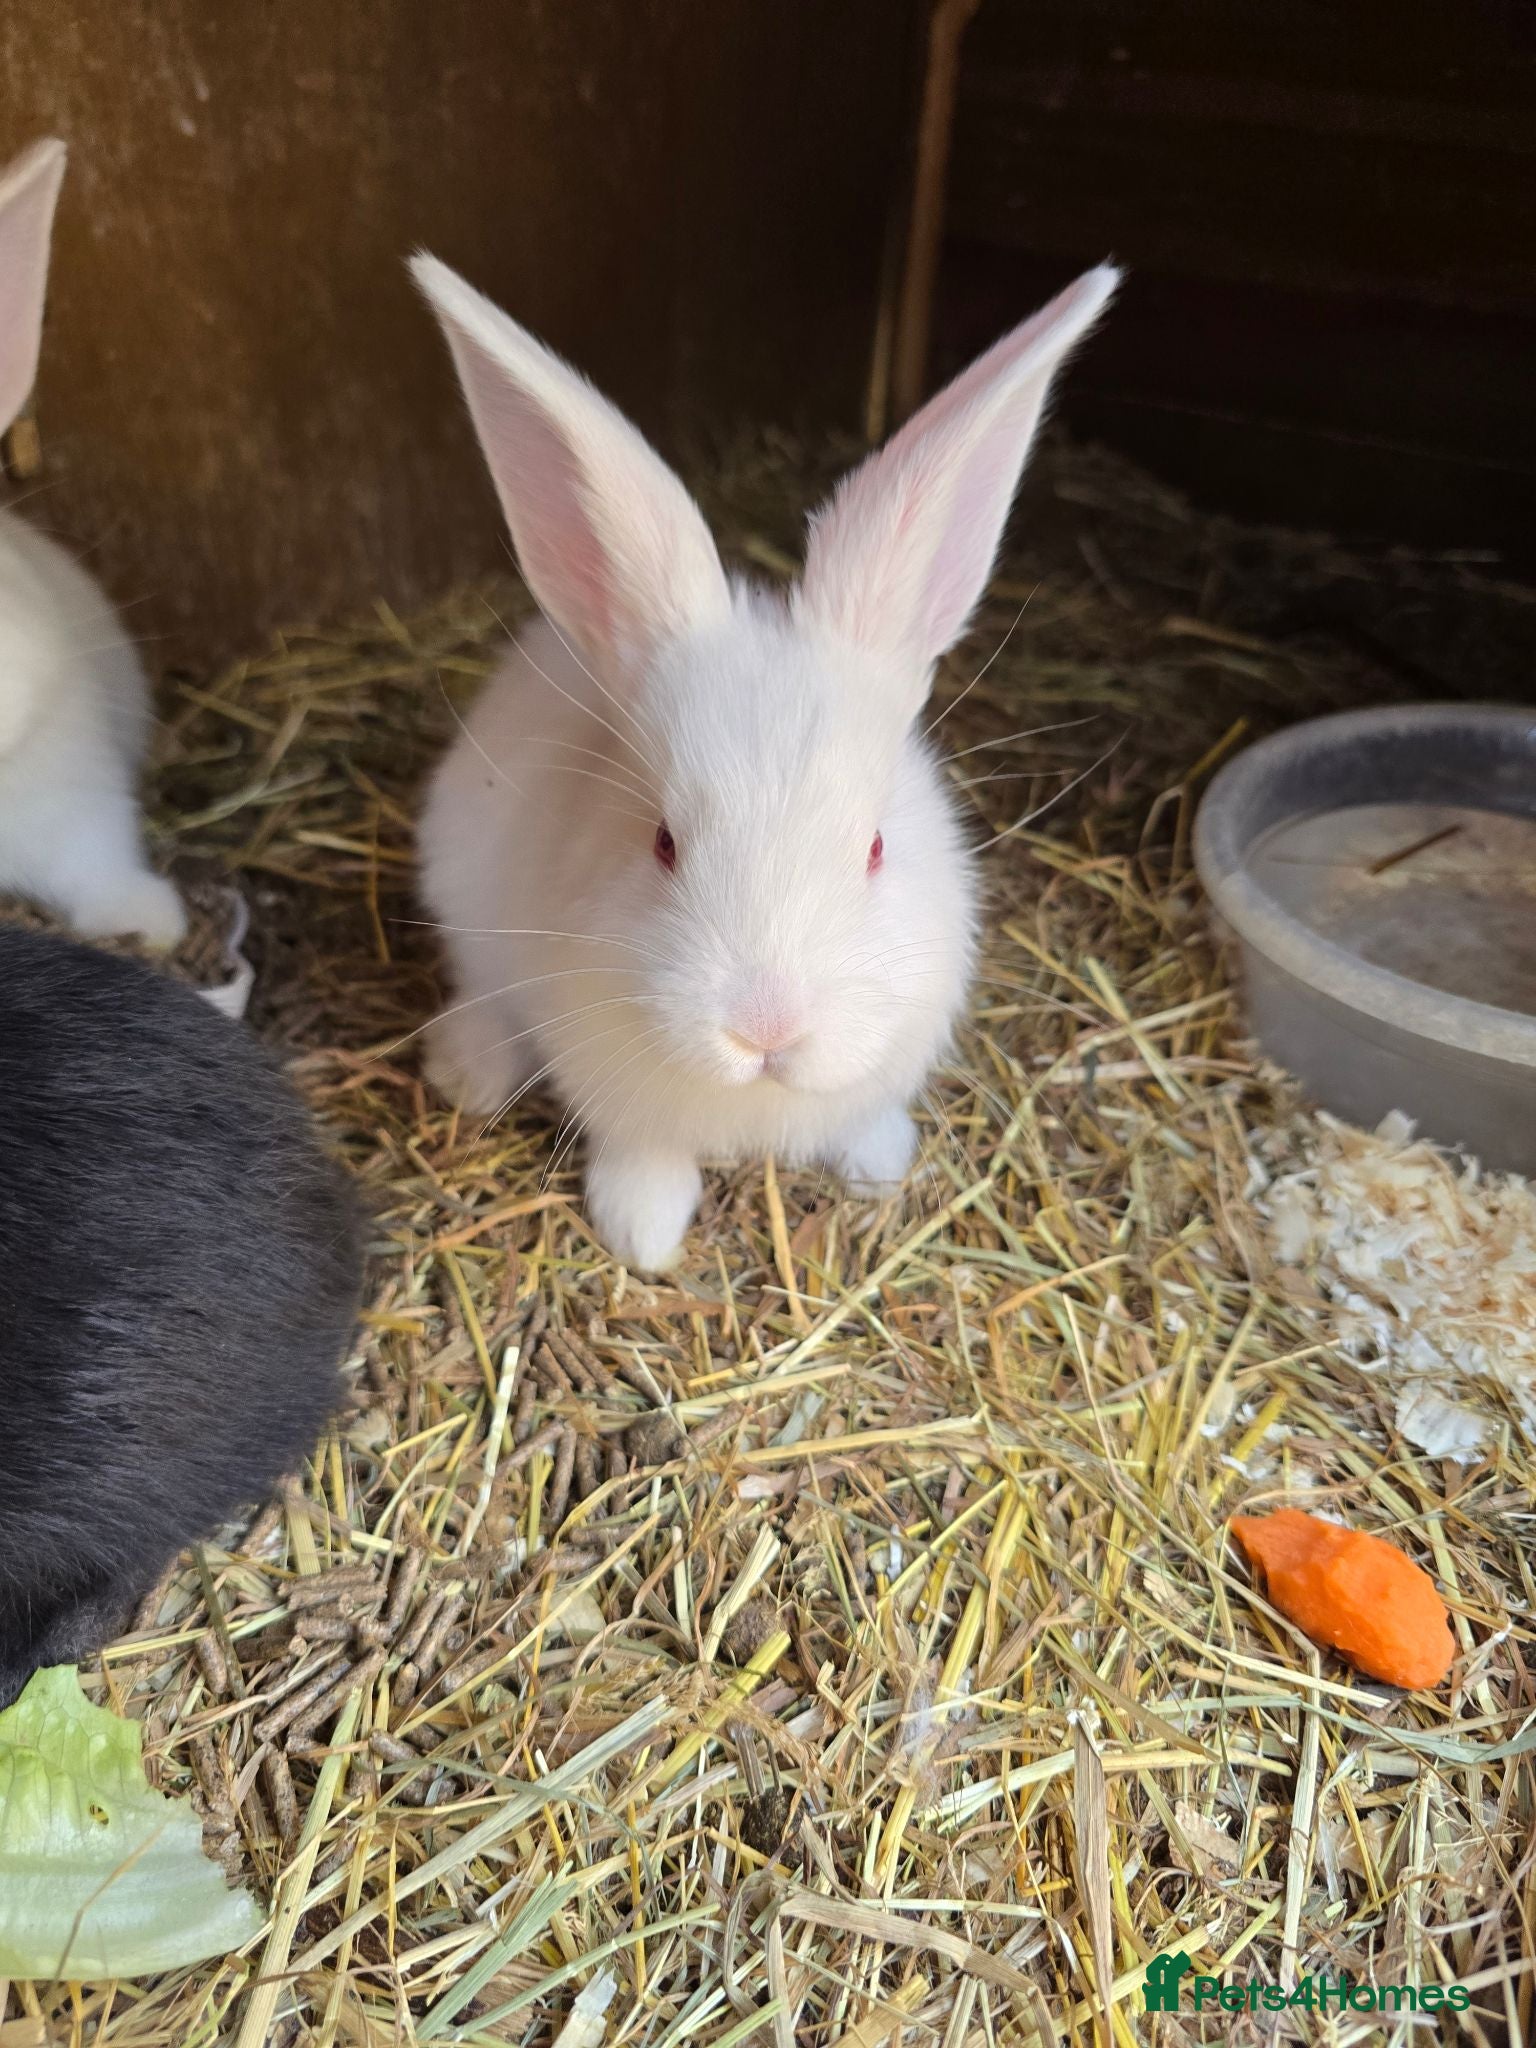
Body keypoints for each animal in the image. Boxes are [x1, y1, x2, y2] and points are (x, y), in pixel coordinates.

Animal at [411, 251, 1118, 1270]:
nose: (767, 1029)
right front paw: (643, 1235)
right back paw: (470, 1073)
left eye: (874, 848)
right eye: (663, 843)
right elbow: (642, 1154)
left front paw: (880, 1169)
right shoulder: (617, 1093)